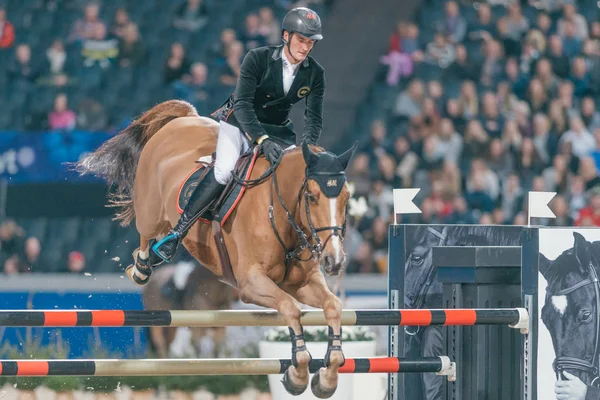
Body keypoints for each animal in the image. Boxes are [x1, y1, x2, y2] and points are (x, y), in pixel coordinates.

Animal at [74, 99, 356, 396]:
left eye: (347, 197)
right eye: (312, 197)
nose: (334, 261)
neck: (278, 211)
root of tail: (184, 119)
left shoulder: (301, 283)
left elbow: (333, 306)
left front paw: (327, 376)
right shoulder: (251, 283)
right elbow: (290, 309)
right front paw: (298, 374)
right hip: (150, 208)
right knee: (146, 233)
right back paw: (142, 268)